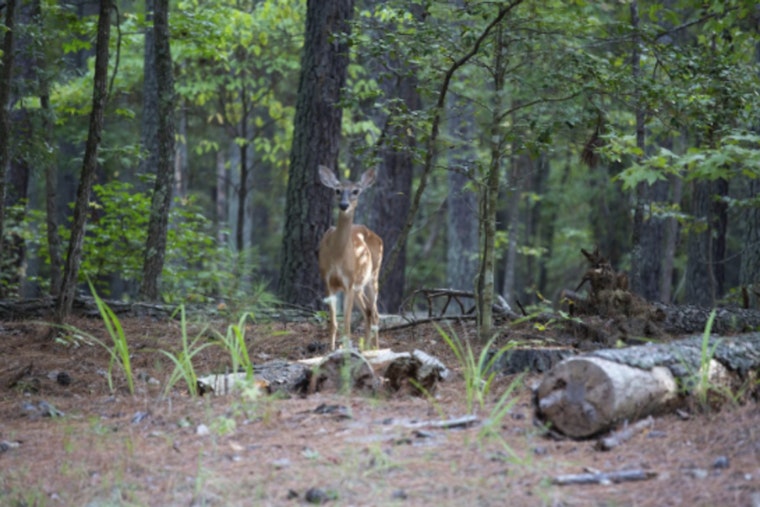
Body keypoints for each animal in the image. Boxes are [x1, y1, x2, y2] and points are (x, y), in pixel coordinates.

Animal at [317, 165, 383, 351]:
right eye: (337, 190)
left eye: (356, 191)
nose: (344, 205)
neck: (337, 255)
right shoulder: (328, 281)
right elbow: (333, 324)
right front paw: (330, 351)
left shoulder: (349, 282)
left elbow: (346, 325)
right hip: (359, 286)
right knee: (368, 311)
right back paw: (366, 348)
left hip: (373, 275)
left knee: (375, 313)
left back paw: (375, 348)